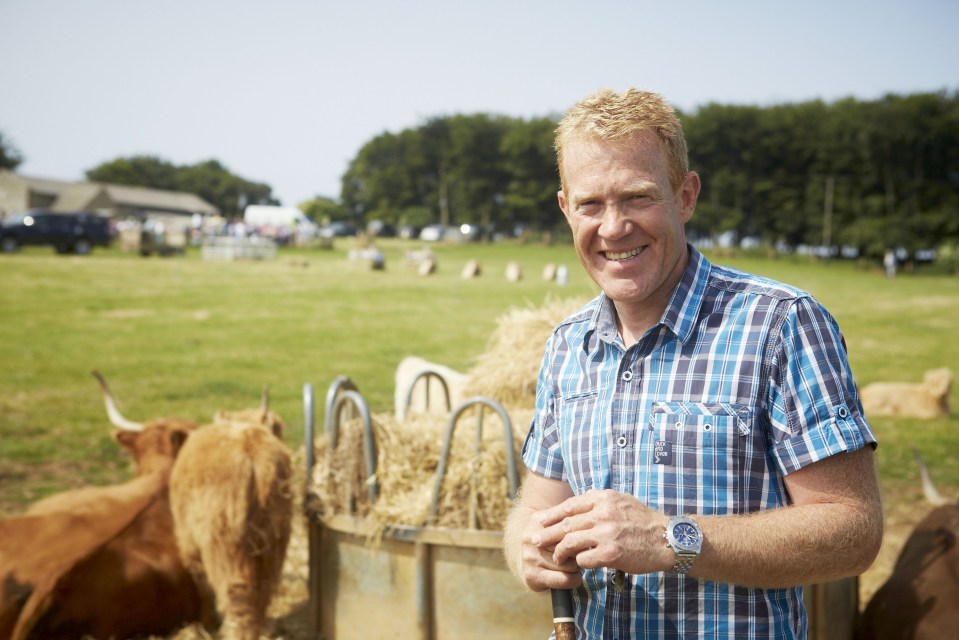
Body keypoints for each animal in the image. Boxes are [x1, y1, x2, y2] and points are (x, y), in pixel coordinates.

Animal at [169, 388, 294, 640]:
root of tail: (251, 450)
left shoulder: (190, 546)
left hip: (224, 544)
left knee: (238, 595)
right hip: (274, 541)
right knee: (264, 588)